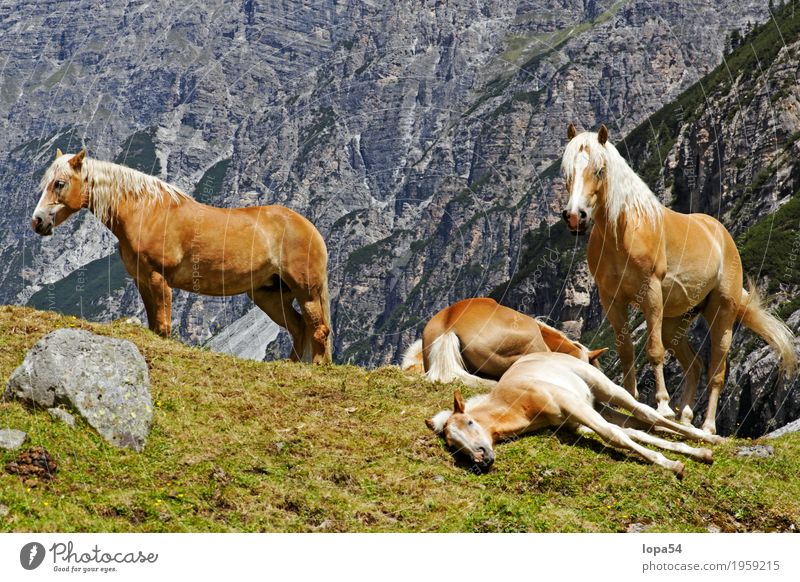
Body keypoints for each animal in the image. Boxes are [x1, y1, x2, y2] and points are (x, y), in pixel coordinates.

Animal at [32, 148, 332, 362]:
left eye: (59, 183)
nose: (38, 221)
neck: (147, 212)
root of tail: (309, 227)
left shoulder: (159, 278)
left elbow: (164, 327)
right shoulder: (142, 280)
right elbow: (154, 326)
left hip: (306, 290)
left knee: (318, 329)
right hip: (269, 295)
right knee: (299, 328)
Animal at [424, 354, 720, 482]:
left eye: (470, 422)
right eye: (453, 445)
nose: (481, 458)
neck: (520, 400)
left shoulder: (573, 405)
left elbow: (614, 436)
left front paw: (672, 465)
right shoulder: (574, 421)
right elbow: (624, 435)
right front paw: (678, 460)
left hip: (606, 390)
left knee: (646, 413)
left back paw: (709, 438)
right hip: (597, 407)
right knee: (638, 428)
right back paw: (700, 452)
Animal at [560, 123, 796, 434]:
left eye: (599, 170)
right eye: (567, 172)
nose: (576, 216)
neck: (624, 232)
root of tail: (723, 236)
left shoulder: (650, 294)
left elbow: (653, 350)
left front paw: (661, 406)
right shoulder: (612, 300)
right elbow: (626, 351)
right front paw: (630, 399)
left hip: (722, 312)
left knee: (716, 369)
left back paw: (707, 426)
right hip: (675, 322)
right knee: (694, 365)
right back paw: (685, 415)